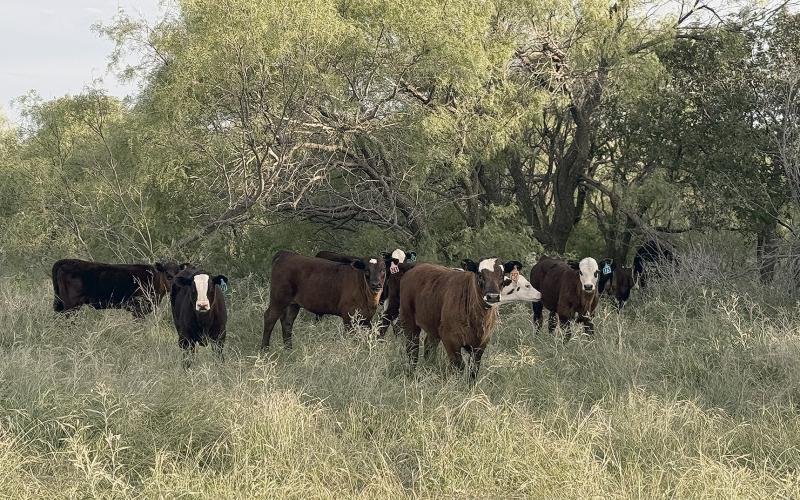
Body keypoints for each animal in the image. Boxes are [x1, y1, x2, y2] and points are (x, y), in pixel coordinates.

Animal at [51, 259, 190, 317]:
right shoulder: (138, 309)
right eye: (168, 275)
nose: (176, 284)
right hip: (70, 305)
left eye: (179, 272)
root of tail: (65, 261)